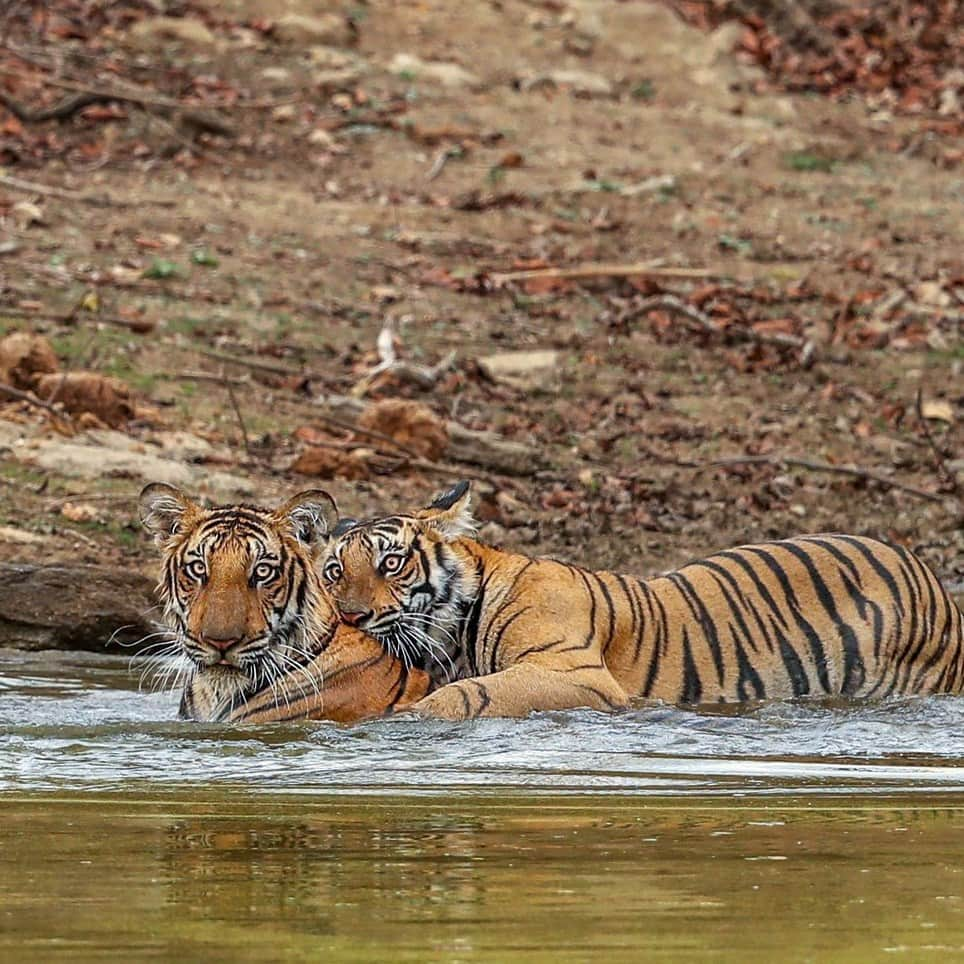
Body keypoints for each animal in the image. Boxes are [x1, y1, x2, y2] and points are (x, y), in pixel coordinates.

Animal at [322, 478, 964, 720]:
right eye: (334, 572)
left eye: (391, 563)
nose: (353, 615)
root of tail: (936, 583)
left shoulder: (575, 673)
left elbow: (474, 693)